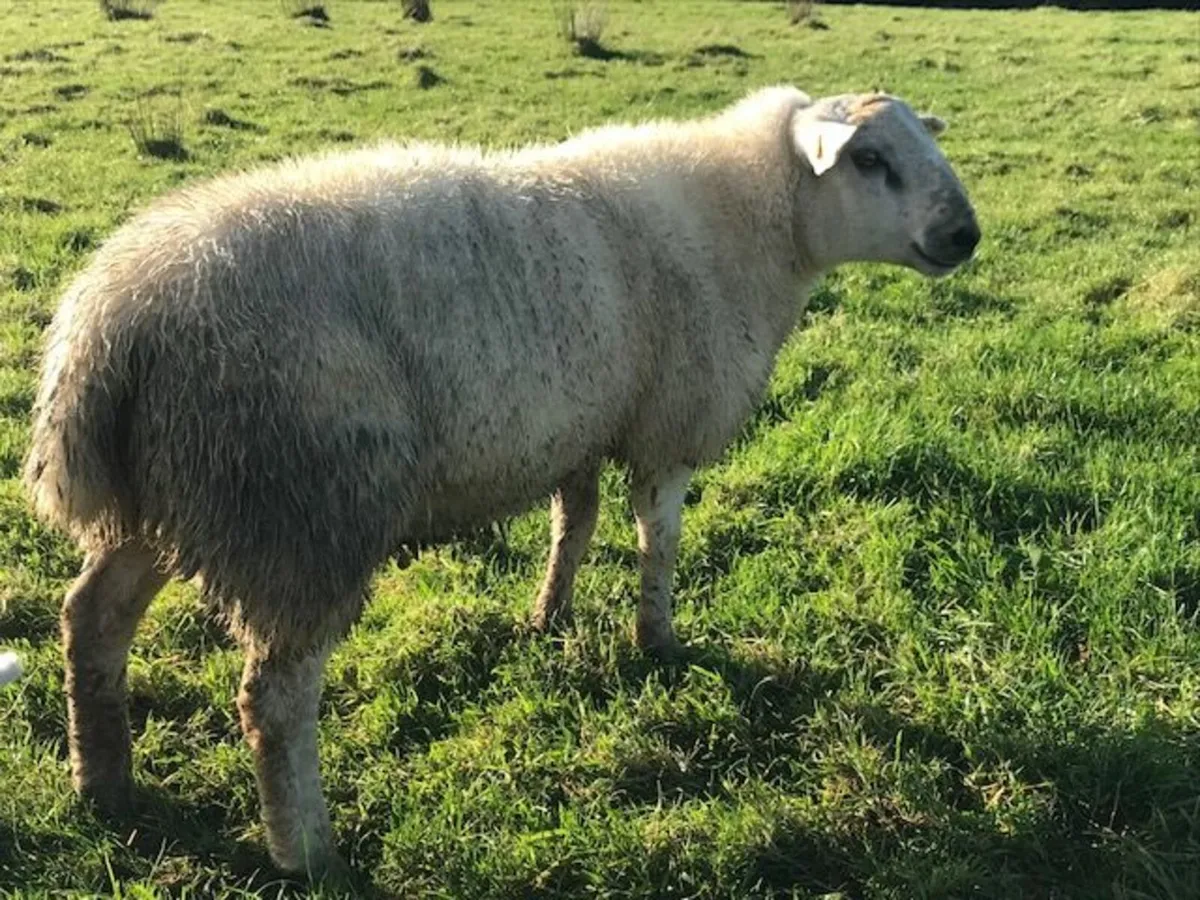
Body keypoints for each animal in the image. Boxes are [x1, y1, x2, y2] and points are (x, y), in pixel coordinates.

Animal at [23, 84, 980, 876]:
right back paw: (308, 851)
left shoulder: (577, 426)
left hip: (175, 494)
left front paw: (549, 616)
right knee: (274, 700)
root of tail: (110, 328)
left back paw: (101, 781)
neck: (750, 222)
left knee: (91, 620)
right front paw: (658, 640)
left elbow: (575, 523)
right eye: (868, 160)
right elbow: (658, 540)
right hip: (304, 511)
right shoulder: (668, 423)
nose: (964, 235)